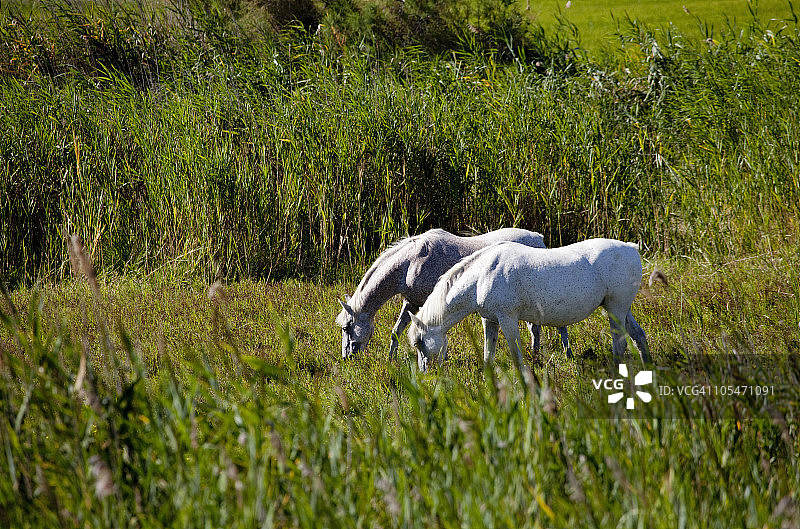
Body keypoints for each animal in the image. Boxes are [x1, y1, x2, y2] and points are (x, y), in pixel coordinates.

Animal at [336, 228, 571, 360]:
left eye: (347, 328)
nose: (347, 357)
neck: (410, 262)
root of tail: (538, 238)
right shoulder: (411, 302)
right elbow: (396, 331)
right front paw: (391, 359)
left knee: (547, 327)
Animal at [407, 238, 651, 372]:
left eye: (418, 343)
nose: (425, 373)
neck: (482, 275)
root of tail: (631, 247)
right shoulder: (490, 320)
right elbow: (488, 354)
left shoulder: (507, 319)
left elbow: (516, 354)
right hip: (621, 309)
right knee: (638, 336)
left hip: (616, 308)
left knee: (620, 344)